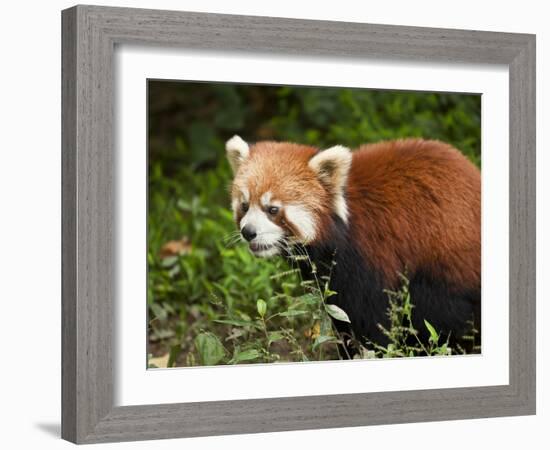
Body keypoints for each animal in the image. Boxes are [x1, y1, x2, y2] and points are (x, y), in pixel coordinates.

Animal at [226, 135, 480, 354]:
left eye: (272, 209)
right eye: (245, 206)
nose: (248, 232)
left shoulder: (372, 257)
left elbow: (373, 320)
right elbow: (341, 317)